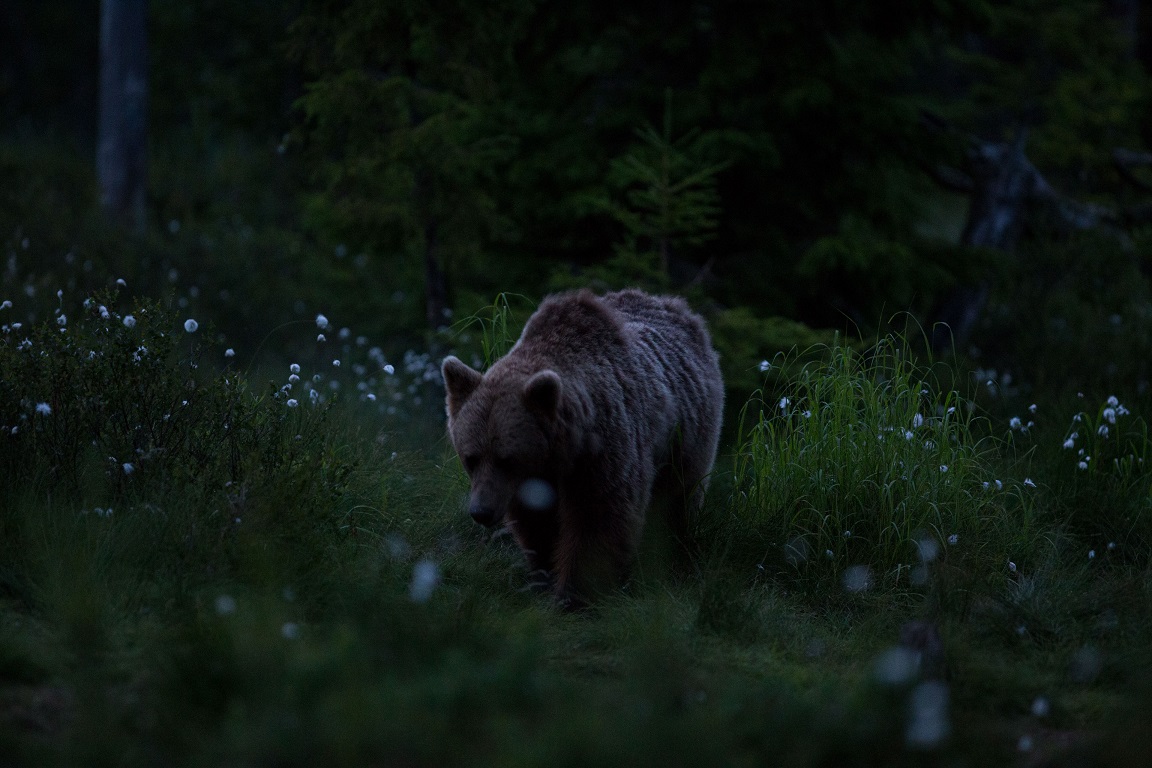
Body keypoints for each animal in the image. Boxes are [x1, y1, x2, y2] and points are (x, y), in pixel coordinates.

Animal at [437, 290, 718, 607]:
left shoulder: (604, 451)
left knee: (678, 498)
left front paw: (576, 593)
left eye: (506, 459)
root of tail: (676, 305)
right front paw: (543, 575)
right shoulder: (533, 480)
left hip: (688, 435)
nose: (481, 512)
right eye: (470, 458)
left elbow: (598, 518)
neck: (568, 446)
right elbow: (538, 523)